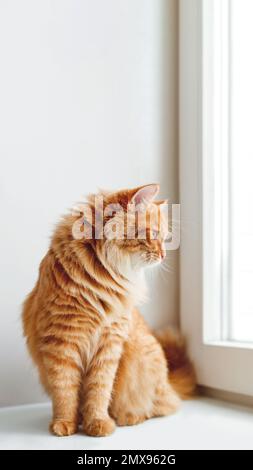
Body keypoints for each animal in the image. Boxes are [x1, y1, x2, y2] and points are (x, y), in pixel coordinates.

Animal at [22, 184, 196, 436]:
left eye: (165, 239)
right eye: (154, 235)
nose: (164, 255)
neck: (101, 278)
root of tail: (168, 383)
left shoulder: (109, 345)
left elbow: (98, 392)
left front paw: (98, 423)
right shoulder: (62, 343)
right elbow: (65, 392)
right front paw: (65, 423)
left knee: (162, 406)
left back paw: (129, 417)